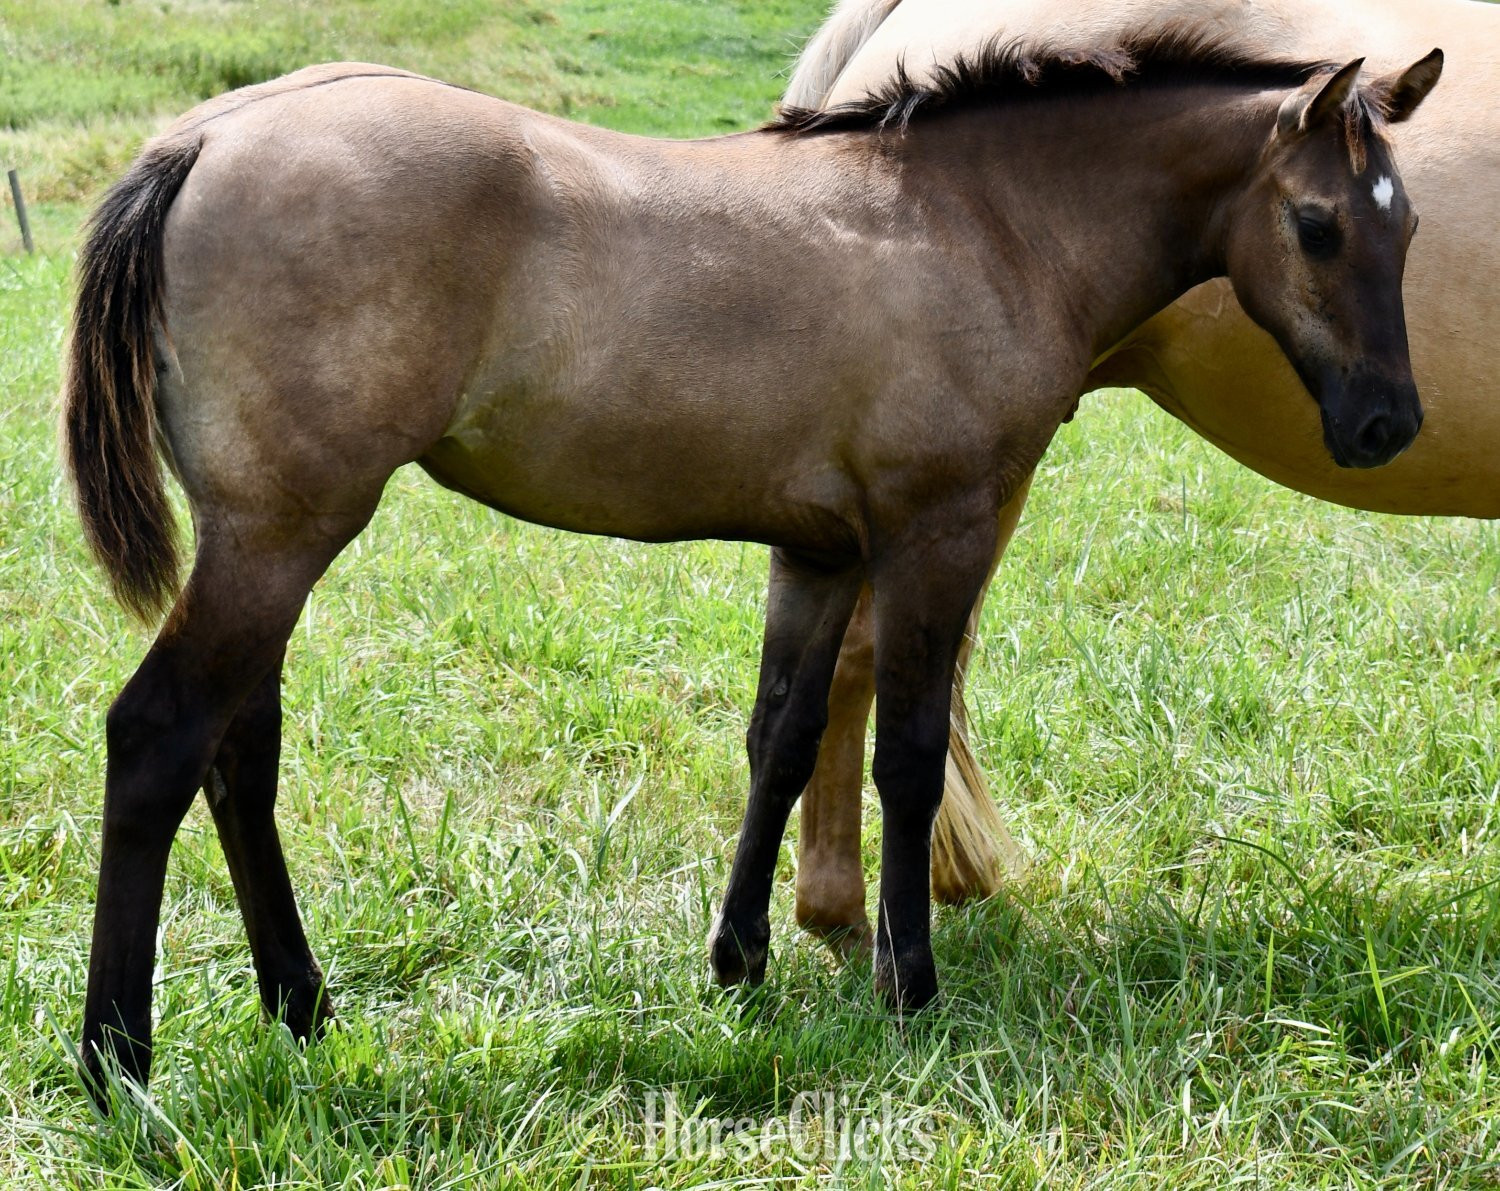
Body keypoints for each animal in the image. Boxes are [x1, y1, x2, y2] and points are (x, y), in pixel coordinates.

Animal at [65, 33, 1441, 1096]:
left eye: (1411, 223)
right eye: (1318, 226)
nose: (1388, 425)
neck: (986, 225)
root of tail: (207, 138)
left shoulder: (818, 552)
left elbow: (780, 740)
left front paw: (739, 963)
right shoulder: (936, 531)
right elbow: (905, 752)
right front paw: (908, 983)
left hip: (265, 540)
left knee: (239, 754)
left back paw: (300, 1004)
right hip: (282, 535)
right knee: (159, 738)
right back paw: (117, 1060)